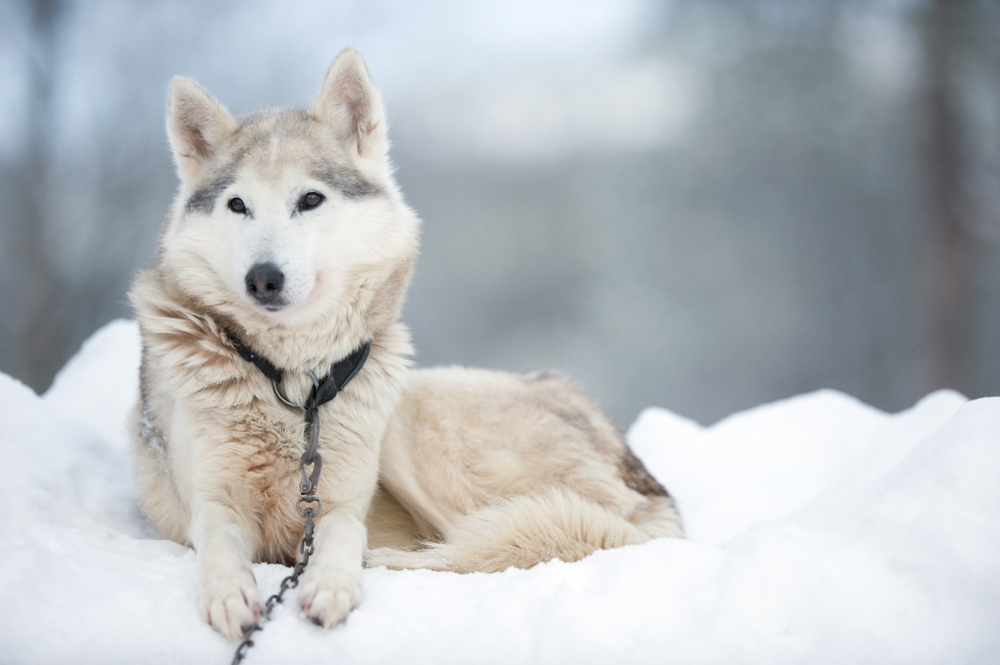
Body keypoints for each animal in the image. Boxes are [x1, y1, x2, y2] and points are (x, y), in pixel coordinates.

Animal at [129, 45, 684, 640]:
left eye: (310, 199)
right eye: (237, 206)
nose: (263, 279)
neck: (294, 382)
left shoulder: (337, 506)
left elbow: (342, 536)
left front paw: (332, 585)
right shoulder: (213, 502)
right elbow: (217, 544)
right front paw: (230, 594)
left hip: (412, 428)